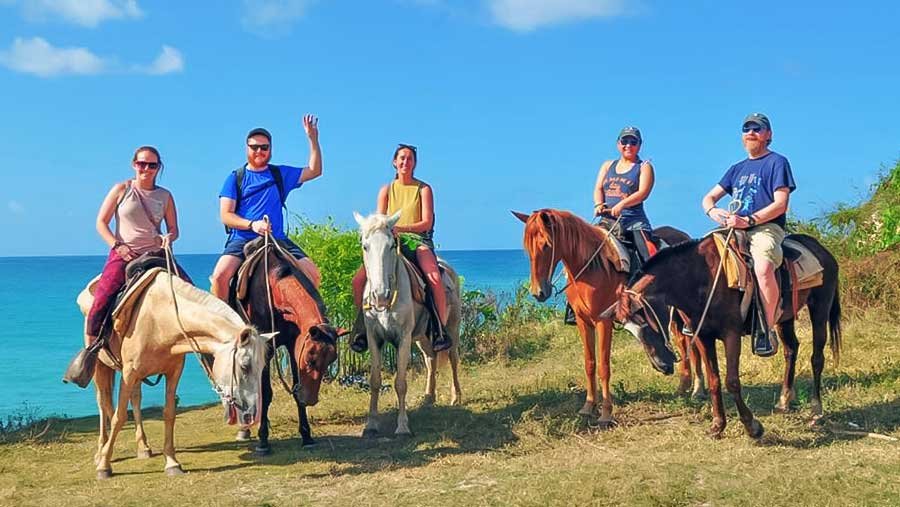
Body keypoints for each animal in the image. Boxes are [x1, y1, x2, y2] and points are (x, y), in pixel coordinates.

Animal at [76, 270, 270, 479]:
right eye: (245, 366)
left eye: (263, 367)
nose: (252, 416)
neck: (160, 319)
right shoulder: (129, 373)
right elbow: (119, 417)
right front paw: (104, 466)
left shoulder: (173, 372)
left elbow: (169, 413)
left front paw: (172, 463)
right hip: (101, 366)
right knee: (103, 402)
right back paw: (100, 452)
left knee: (135, 399)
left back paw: (143, 447)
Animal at [233, 238, 339, 455]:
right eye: (311, 359)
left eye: (331, 361)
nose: (311, 400)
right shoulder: (263, 350)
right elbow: (265, 393)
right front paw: (263, 440)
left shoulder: (293, 347)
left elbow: (296, 389)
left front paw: (306, 436)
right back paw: (244, 429)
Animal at [353, 211, 462, 437]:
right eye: (365, 246)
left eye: (391, 246)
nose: (380, 295)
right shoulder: (374, 338)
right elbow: (375, 380)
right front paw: (371, 424)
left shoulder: (403, 338)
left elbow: (401, 383)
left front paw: (403, 426)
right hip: (423, 336)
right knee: (430, 359)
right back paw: (428, 397)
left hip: (453, 326)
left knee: (453, 359)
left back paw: (456, 397)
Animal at [513, 208, 697, 425]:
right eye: (527, 248)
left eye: (546, 245)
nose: (538, 293)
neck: (589, 268)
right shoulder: (583, 322)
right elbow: (590, 364)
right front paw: (588, 406)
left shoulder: (604, 322)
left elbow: (604, 367)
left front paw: (606, 413)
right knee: (682, 341)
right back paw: (683, 387)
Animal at [602, 234, 842, 438]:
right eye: (629, 331)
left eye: (644, 321)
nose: (661, 365)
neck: (701, 278)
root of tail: (821, 249)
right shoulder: (703, 337)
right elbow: (714, 380)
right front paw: (718, 425)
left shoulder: (731, 334)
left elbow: (732, 381)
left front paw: (752, 427)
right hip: (784, 318)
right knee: (791, 350)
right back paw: (784, 400)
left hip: (820, 308)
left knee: (817, 358)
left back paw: (816, 410)